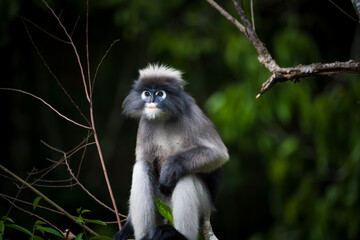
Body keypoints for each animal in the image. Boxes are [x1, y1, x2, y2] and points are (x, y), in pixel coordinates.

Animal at [114, 63, 229, 240]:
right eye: (147, 93)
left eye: (160, 94)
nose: (152, 100)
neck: (163, 118)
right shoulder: (145, 123)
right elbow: (144, 161)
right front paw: (128, 226)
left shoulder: (193, 114)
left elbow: (218, 153)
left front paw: (171, 167)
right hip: (160, 202)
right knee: (142, 167)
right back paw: (144, 235)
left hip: (203, 204)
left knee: (185, 176)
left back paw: (179, 234)